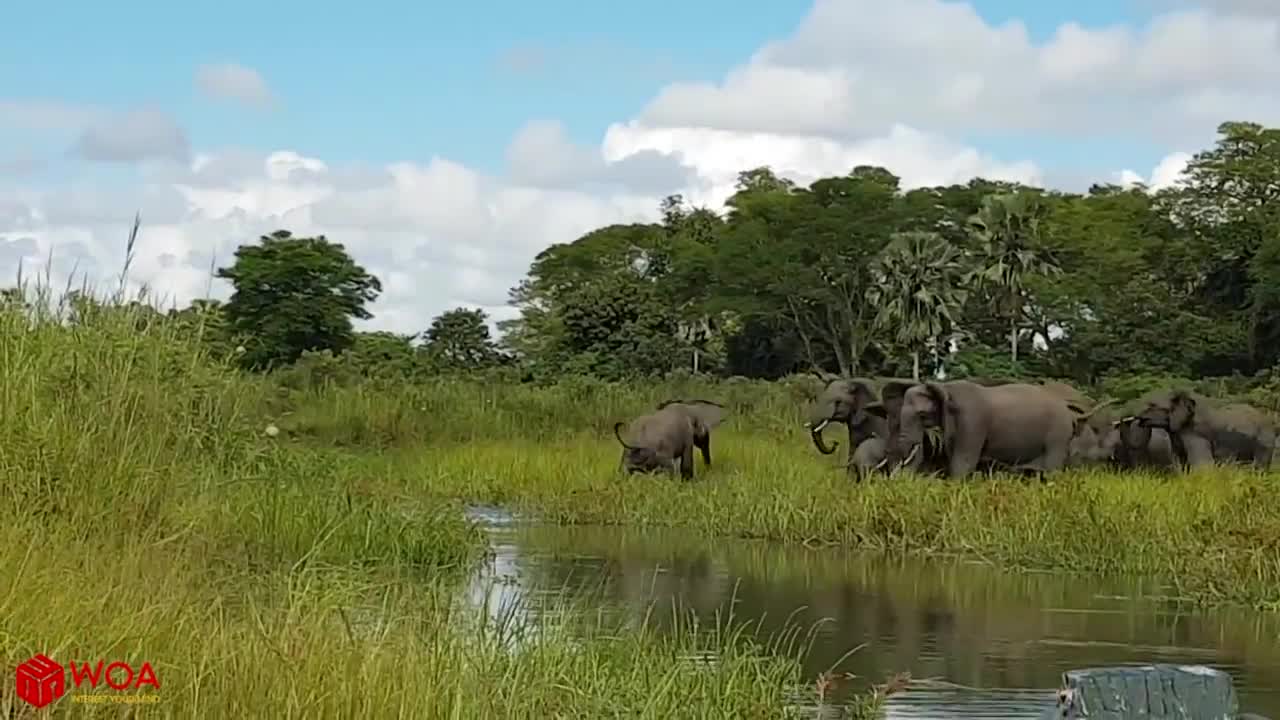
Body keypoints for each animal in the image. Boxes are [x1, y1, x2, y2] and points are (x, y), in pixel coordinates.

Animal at [870, 379, 1090, 479]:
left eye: (922, 415)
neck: (945, 387)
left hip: (1057, 435)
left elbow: (963, 463)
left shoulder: (972, 421)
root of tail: (1070, 413)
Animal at [1136, 389, 1274, 468]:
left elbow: (1202, 463)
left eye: (1152, 406)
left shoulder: (1196, 433)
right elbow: (1180, 461)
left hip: (1264, 440)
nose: (1137, 418)